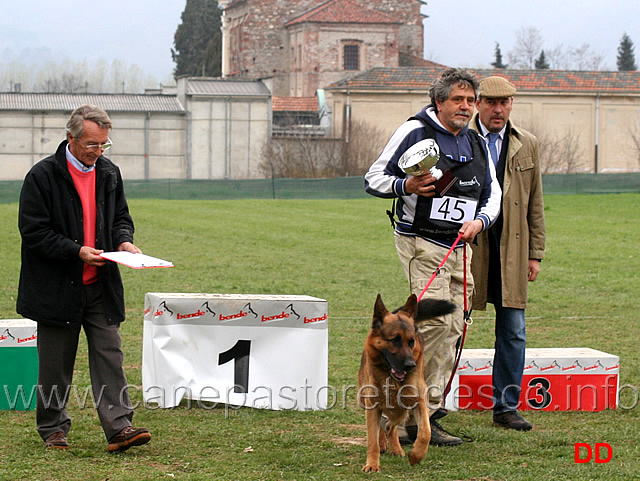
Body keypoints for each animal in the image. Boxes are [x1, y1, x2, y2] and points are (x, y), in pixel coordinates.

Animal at [360, 290, 456, 470]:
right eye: (394, 340)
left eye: (411, 342)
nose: (410, 365)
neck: (392, 379)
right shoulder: (373, 404)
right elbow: (372, 439)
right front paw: (373, 464)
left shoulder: (419, 401)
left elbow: (425, 432)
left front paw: (416, 456)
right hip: (366, 401)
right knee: (383, 425)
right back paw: (383, 443)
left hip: (402, 410)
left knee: (390, 425)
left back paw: (396, 448)